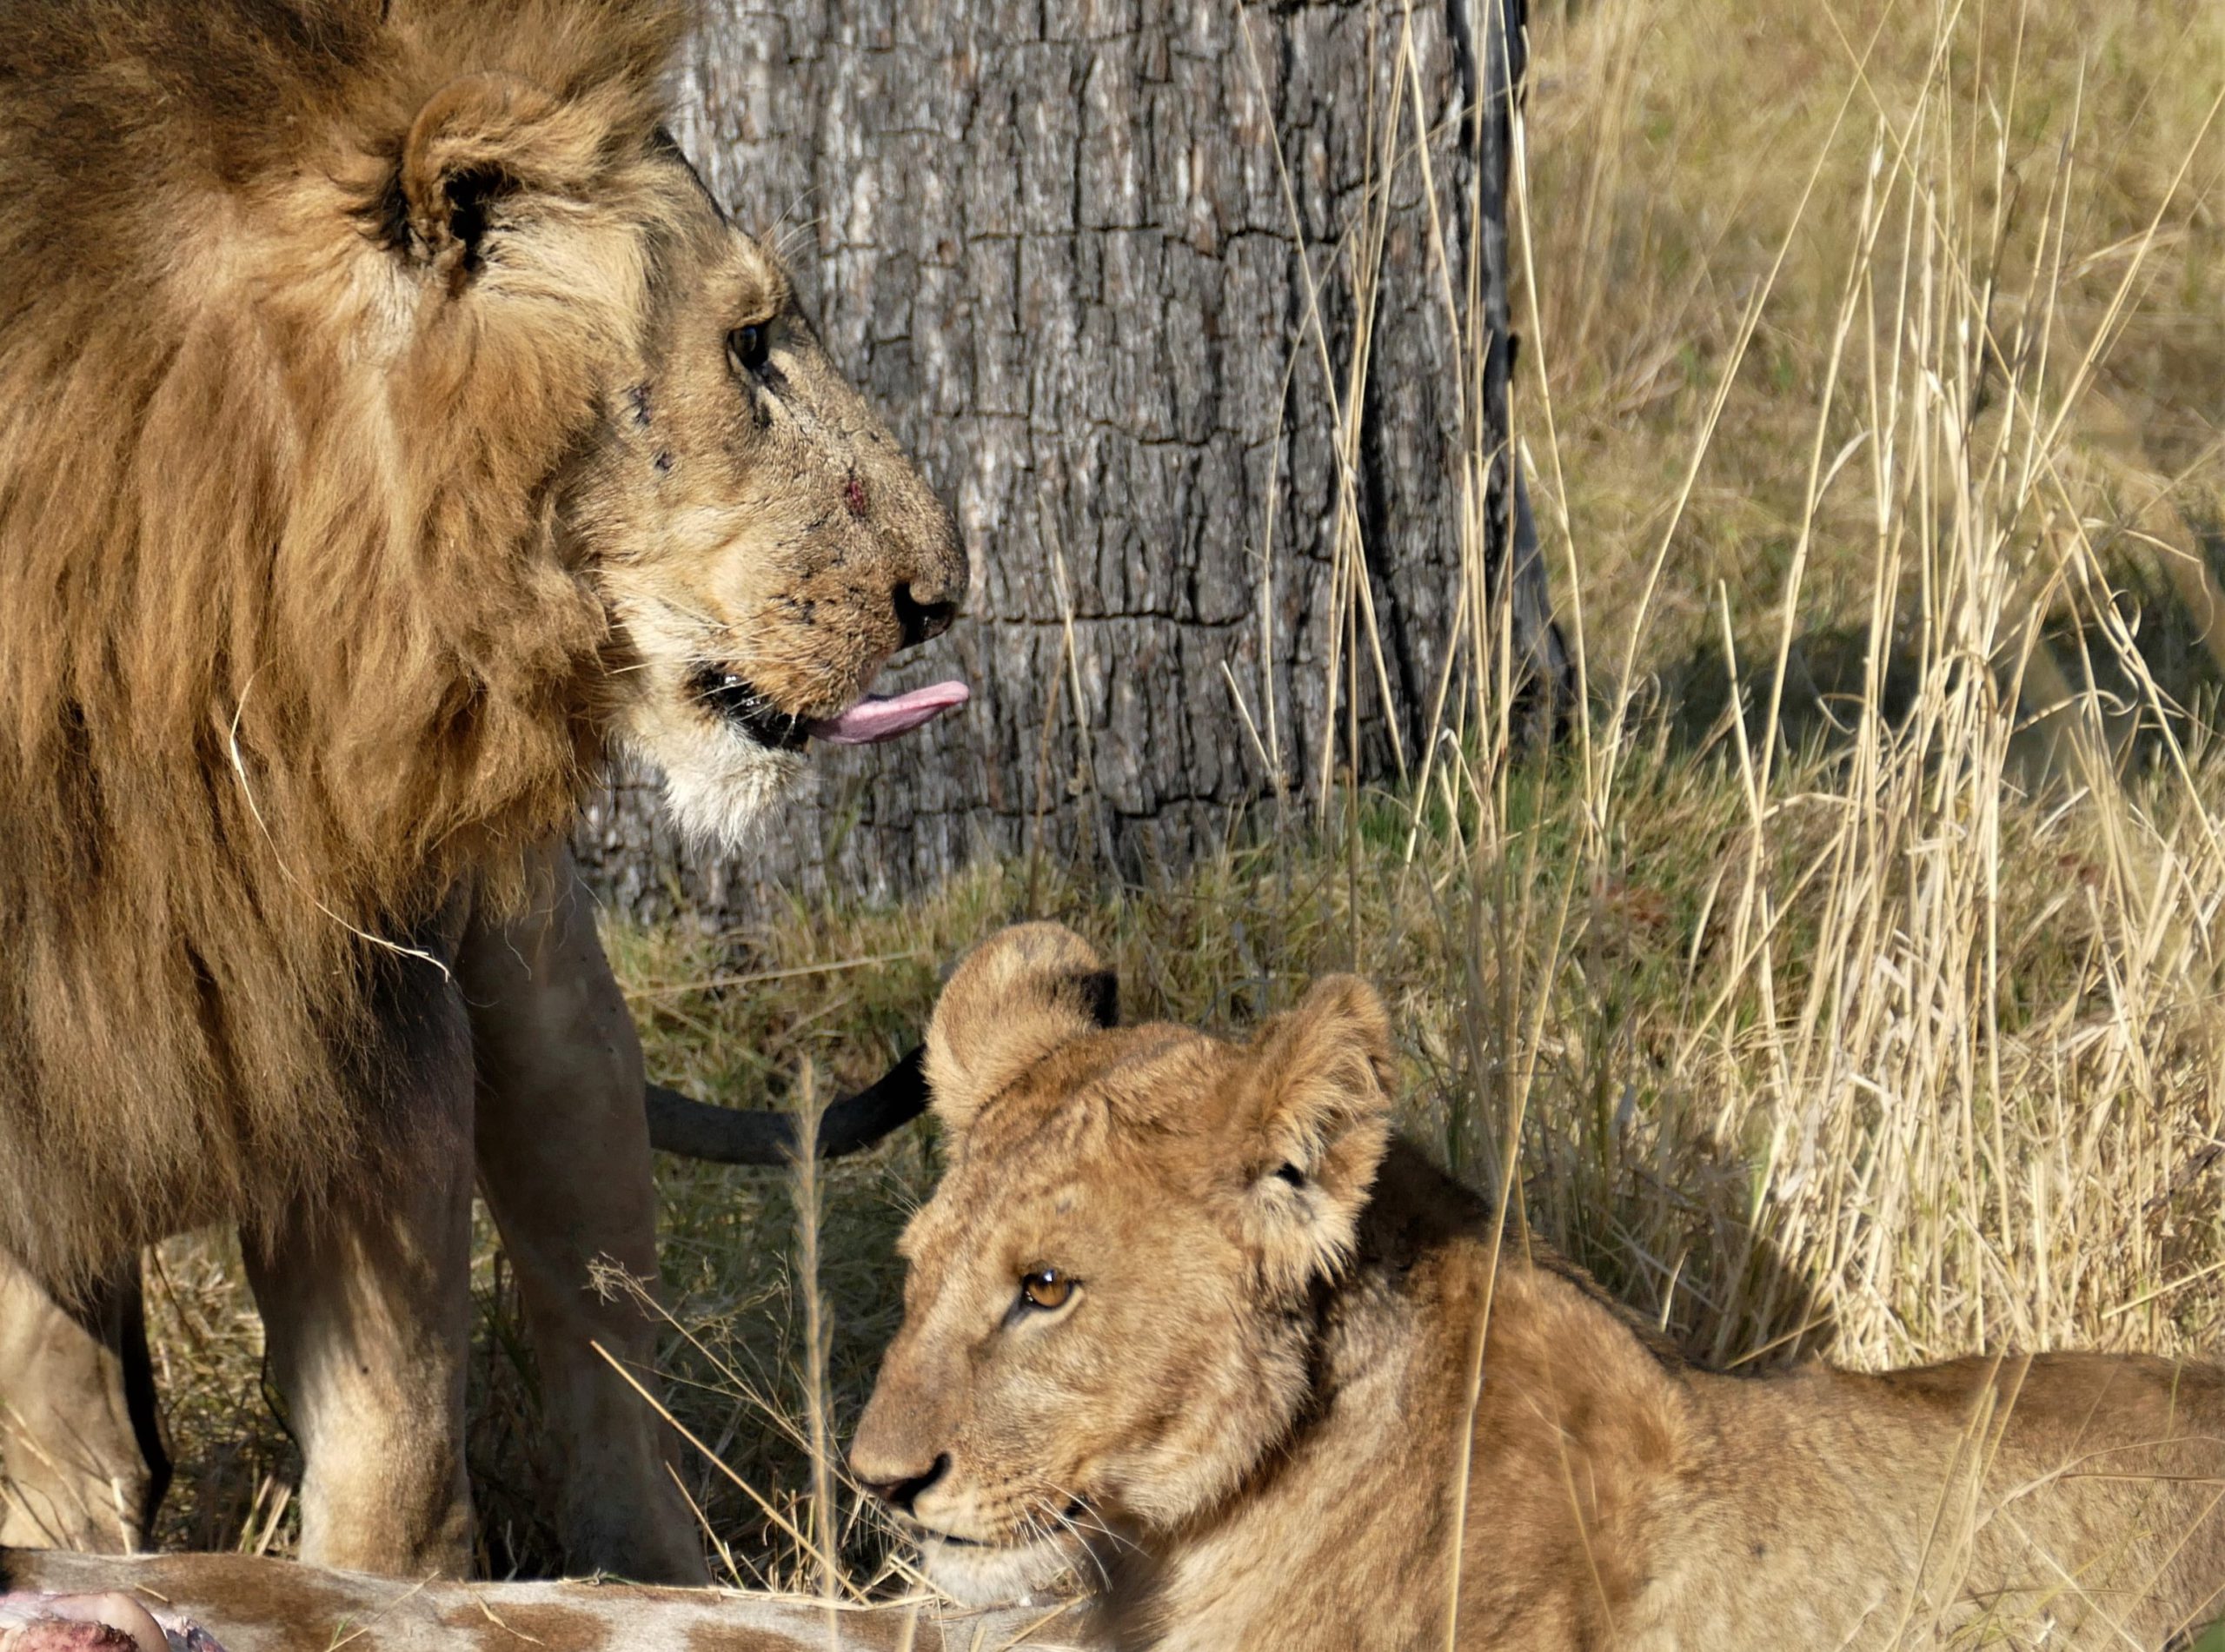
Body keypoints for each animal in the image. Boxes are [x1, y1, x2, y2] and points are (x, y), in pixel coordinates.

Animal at [2, 0, 974, 1582]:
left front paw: (381, 1595)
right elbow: (54, 1426)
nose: (939, 599)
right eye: (748, 345)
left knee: (603, 1351)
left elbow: (395, 1447)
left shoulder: (380, 1035)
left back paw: (663, 1575)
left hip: (557, 1031)